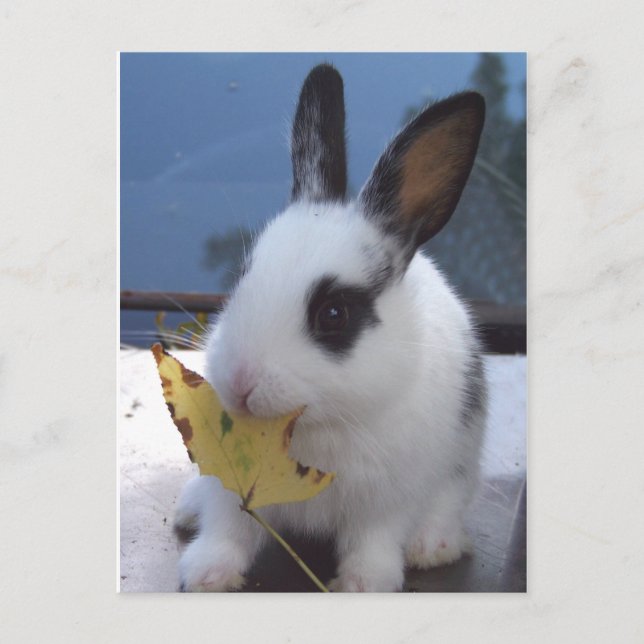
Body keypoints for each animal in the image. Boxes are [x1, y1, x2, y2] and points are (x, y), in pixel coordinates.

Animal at [173, 63, 487, 592]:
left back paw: (434, 546)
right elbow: (228, 527)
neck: (311, 426)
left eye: (334, 314)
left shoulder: (387, 498)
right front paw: (206, 574)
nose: (239, 383)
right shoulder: (230, 487)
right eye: (242, 277)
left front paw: (362, 584)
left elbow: (373, 542)